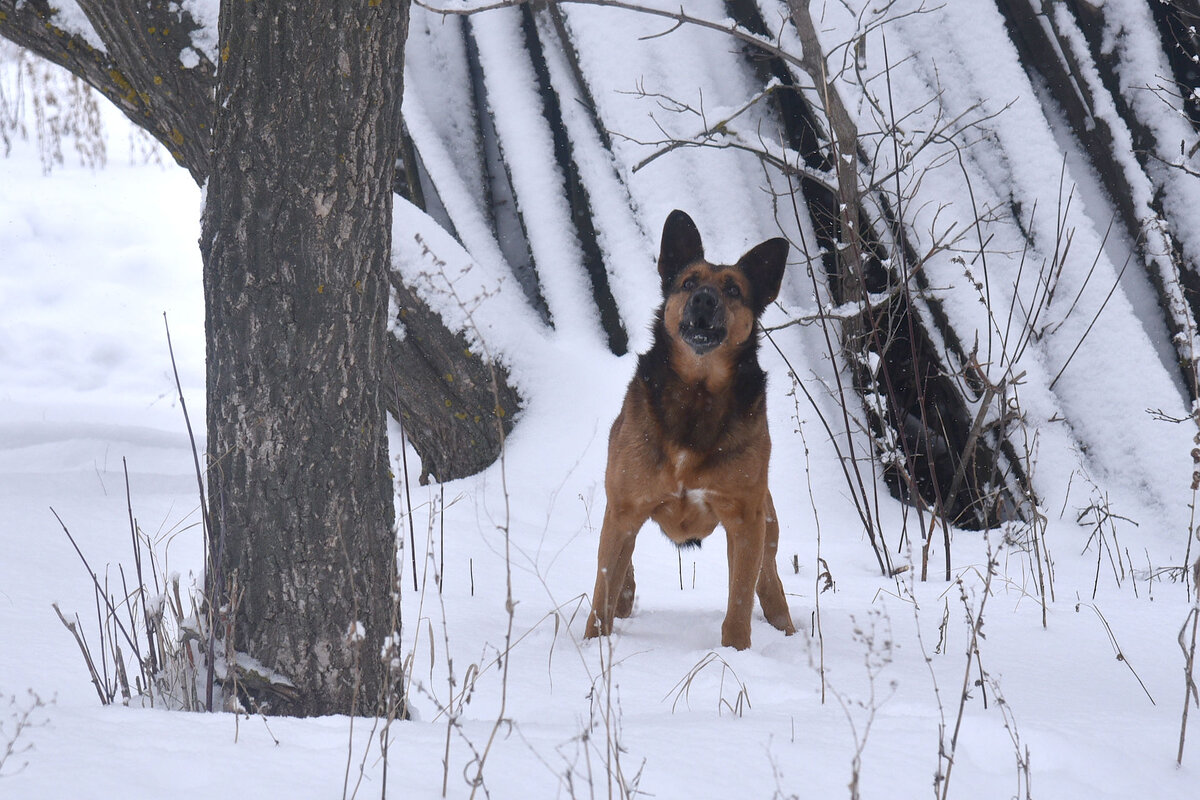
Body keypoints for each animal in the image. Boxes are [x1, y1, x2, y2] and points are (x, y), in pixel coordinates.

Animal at [583, 211, 796, 652]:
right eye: (688, 283)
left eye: (733, 290)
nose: (704, 300)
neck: (697, 394)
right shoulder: (623, 510)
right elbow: (602, 592)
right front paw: (592, 645)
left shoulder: (744, 519)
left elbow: (739, 602)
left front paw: (735, 655)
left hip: (765, 527)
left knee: (768, 585)